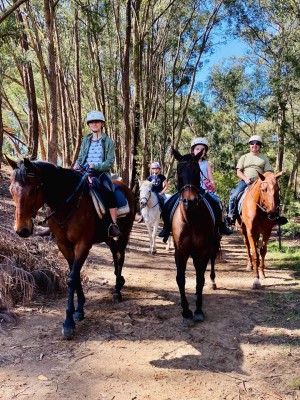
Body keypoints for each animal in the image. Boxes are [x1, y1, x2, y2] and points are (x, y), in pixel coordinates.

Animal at [6, 158, 135, 340]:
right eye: (11, 190)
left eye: (32, 190)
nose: (21, 230)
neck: (68, 204)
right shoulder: (63, 245)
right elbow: (75, 275)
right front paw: (79, 310)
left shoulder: (83, 244)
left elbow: (72, 278)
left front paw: (68, 322)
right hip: (107, 236)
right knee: (115, 252)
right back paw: (120, 280)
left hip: (124, 232)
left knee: (121, 254)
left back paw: (117, 290)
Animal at [171, 148, 220, 326]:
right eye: (179, 172)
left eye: (197, 172)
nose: (189, 202)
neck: (191, 219)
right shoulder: (180, 251)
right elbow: (180, 279)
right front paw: (186, 311)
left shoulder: (203, 251)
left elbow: (200, 279)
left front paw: (198, 310)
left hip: (213, 245)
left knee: (210, 265)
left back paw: (212, 282)